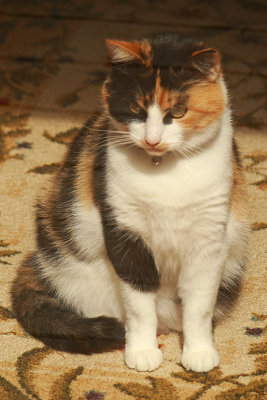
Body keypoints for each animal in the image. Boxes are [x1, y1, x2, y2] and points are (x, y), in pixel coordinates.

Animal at [11, 32, 249, 374]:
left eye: (178, 112)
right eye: (136, 108)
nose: (152, 139)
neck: (164, 172)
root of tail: (38, 261)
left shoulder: (209, 241)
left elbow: (200, 306)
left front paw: (199, 352)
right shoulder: (125, 233)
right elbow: (139, 305)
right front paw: (142, 351)